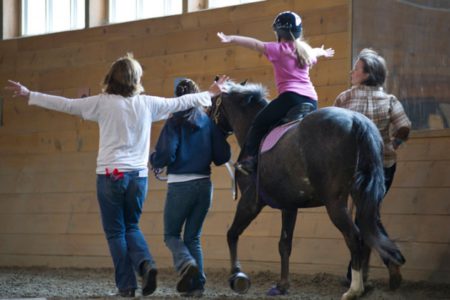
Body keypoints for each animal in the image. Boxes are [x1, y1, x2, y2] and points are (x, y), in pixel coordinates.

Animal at [209, 80, 406, 300]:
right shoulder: (289, 207)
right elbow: (284, 244)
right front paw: (282, 285)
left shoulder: (250, 202)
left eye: (212, 104)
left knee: (355, 237)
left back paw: (354, 289)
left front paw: (237, 276)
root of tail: (356, 120)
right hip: (364, 198)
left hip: (335, 203)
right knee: (372, 232)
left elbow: (232, 234)